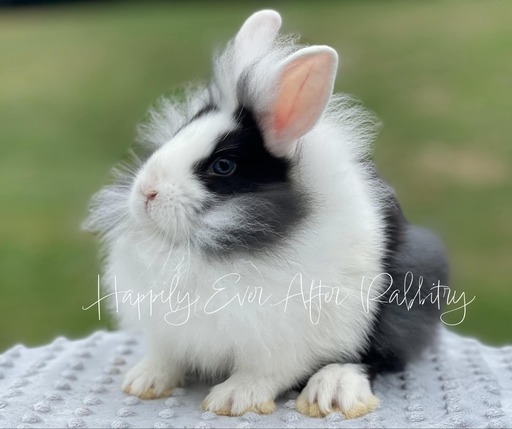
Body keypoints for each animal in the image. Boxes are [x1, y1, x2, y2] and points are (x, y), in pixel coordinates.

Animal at [84, 10, 448, 418]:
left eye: (223, 166)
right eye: (178, 133)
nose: (146, 192)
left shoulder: (283, 338)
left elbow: (264, 372)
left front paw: (233, 399)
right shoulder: (169, 329)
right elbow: (167, 356)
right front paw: (144, 382)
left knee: (372, 356)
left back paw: (333, 390)